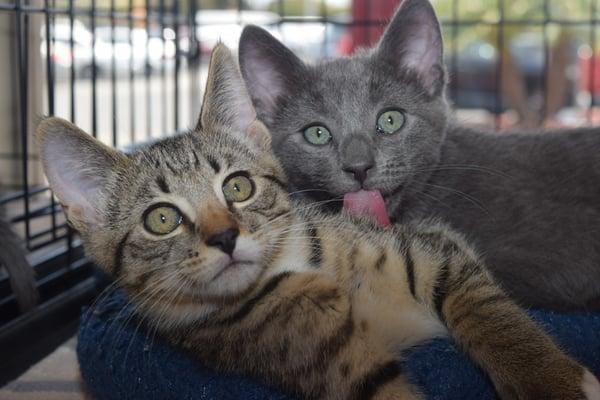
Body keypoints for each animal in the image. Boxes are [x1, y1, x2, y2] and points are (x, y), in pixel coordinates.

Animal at [37, 45, 600, 398]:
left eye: (238, 187)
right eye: (161, 219)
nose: (225, 237)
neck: (302, 264)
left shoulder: (436, 248)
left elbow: (490, 311)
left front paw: (552, 380)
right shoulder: (335, 365)